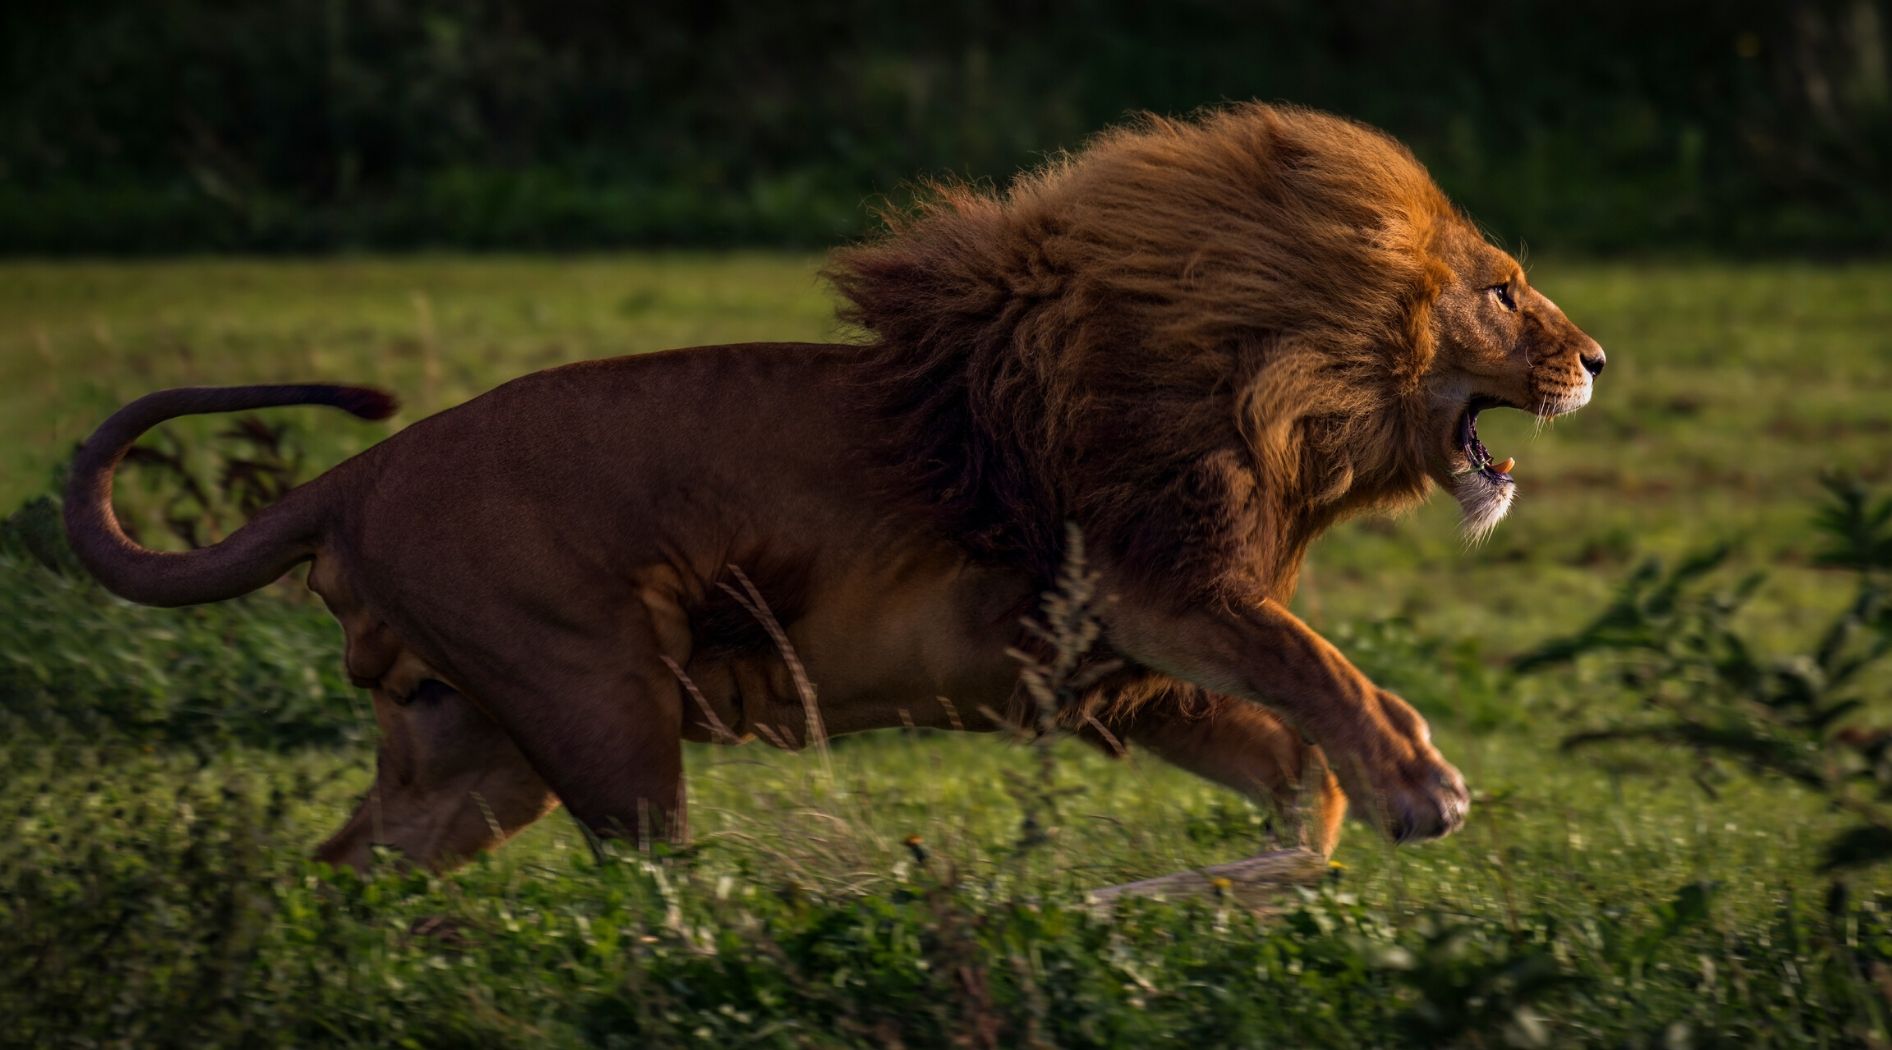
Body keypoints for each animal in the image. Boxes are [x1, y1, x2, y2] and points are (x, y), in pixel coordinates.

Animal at [63, 103, 1604, 871]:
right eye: (1503, 290)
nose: (1593, 357)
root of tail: (358, 469)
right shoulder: (1157, 588)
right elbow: (1330, 671)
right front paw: (1422, 791)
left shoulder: (1108, 666)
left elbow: (1291, 769)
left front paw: (1217, 889)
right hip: (597, 699)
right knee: (651, 882)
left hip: (471, 744)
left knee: (348, 868)